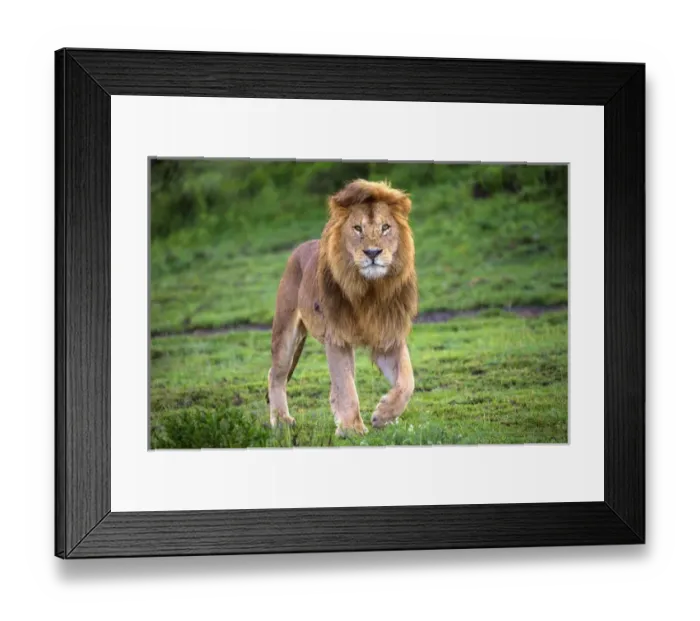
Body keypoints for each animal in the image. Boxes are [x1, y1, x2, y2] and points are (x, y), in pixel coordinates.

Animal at [267, 179, 418, 437]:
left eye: (385, 227)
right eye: (357, 228)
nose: (372, 252)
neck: (370, 290)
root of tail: (301, 247)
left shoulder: (388, 337)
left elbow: (407, 382)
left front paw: (383, 416)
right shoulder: (337, 338)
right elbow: (346, 386)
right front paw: (352, 429)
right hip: (286, 331)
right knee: (276, 374)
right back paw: (282, 420)